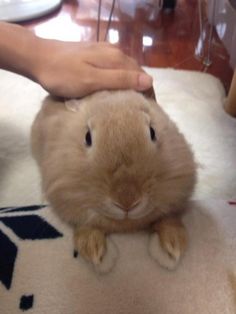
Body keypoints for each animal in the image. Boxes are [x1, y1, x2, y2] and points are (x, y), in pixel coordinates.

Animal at [30, 89, 197, 272]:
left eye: (153, 132)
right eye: (87, 137)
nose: (127, 201)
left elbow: (168, 220)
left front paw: (172, 248)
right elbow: (87, 226)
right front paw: (97, 255)